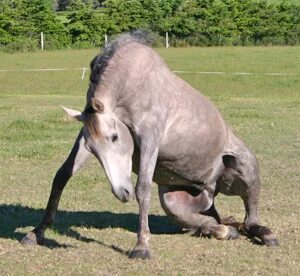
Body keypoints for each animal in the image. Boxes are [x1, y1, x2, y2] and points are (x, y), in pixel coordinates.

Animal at [21, 32, 278, 258]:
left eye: (115, 137)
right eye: (94, 149)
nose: (121, 192)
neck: (130, 83)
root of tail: (210, 188)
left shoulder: (149, 137)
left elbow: (142, 189)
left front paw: (141, 246)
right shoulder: (84, 138)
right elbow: (61, 176)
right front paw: (36, 233)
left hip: (243, 165)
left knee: (250, 216)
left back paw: (265, 234)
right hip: (174, 201)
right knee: (210, 220)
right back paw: (224, 230)